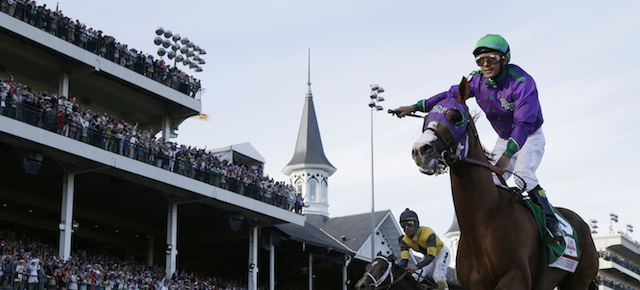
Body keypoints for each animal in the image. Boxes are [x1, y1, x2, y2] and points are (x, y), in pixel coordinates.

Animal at [408, 77, 596, 290]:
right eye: (425, 120)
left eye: (455, 116)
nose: (420, 150)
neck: (484, 220)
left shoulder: (516, 277)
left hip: (579, 280)